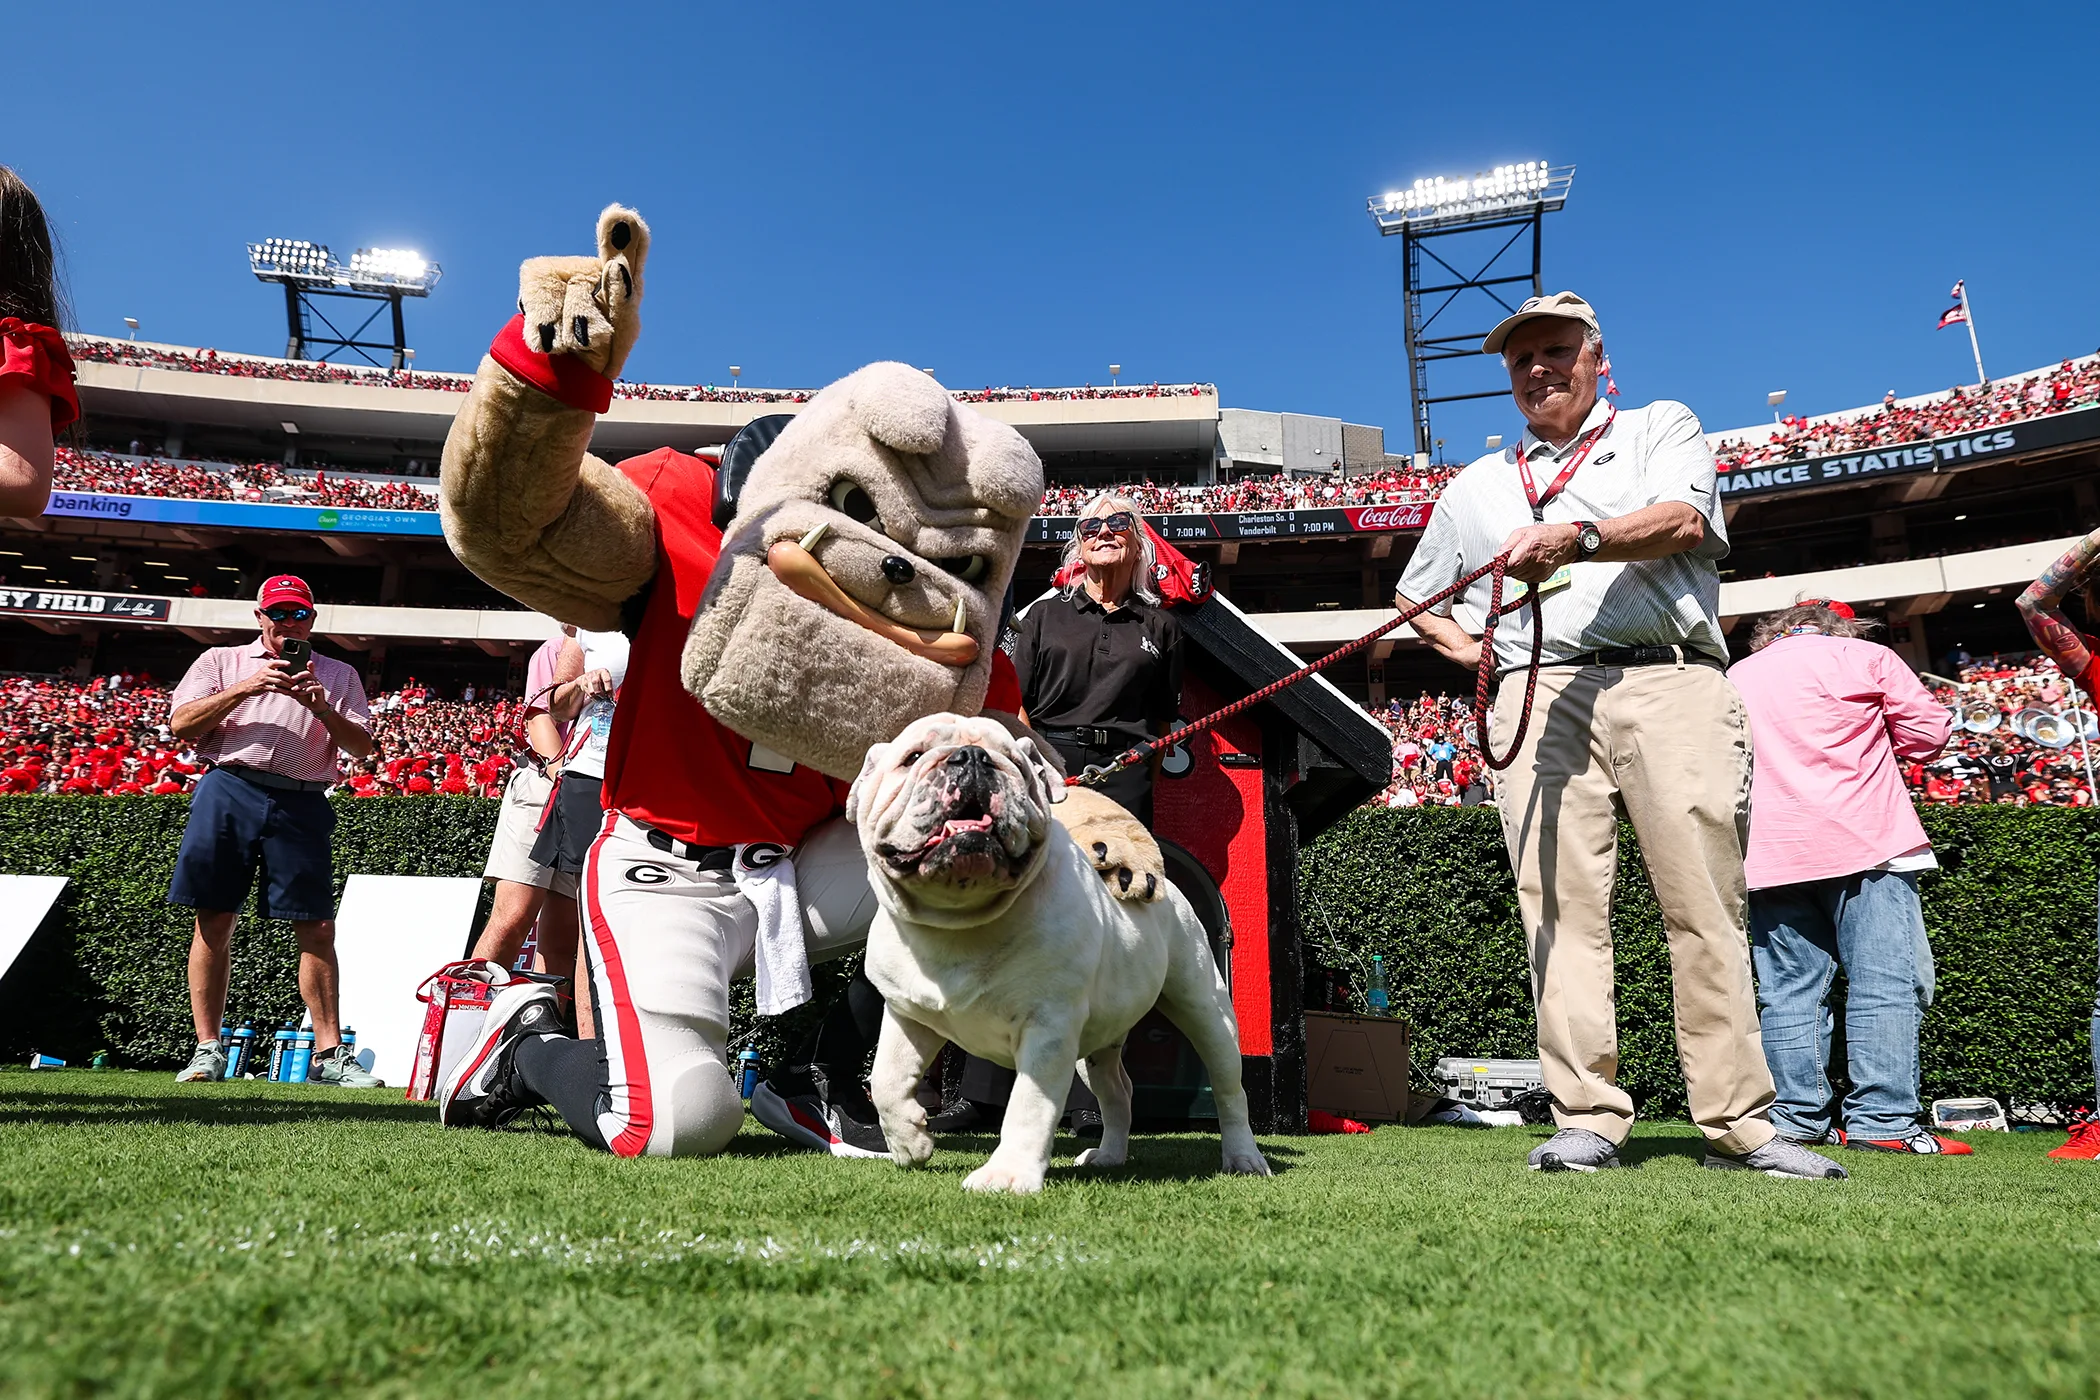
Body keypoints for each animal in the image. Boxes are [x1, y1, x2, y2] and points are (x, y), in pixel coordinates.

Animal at [848, 713, 1273, 1194]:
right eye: (913, 757)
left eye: (1015, 762)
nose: (972, 757)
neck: (959, 919)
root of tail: (1169, 889)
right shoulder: (908, 1013)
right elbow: (885, 1078)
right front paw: (909, 1142)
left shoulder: (1048, 1028)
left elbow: (1028, 1106)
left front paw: (1007, 1174)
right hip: (1095, 1044)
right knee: (1118, 1091)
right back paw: (1108, 1155)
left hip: (1207, 1012)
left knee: (1230, 1090)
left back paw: (1244, 1158)